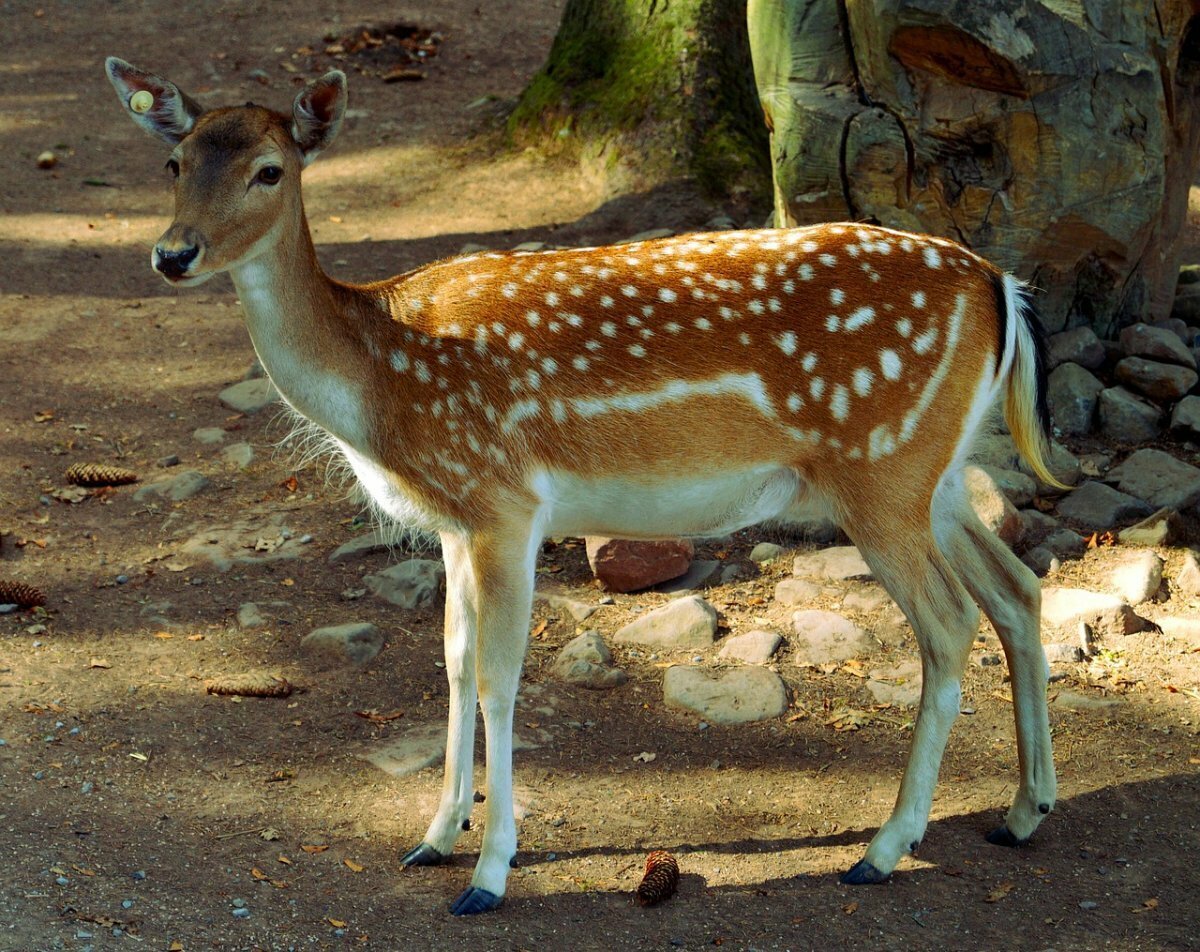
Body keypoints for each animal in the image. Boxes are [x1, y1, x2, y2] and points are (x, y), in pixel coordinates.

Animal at [105, 59, 1060, 912]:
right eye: (175, 161)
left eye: (271, 169)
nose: (172, 254)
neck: (381, 381)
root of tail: (1002, 286)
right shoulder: (453, 520)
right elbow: (451, 661)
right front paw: (433, 837)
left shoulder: (505, 501)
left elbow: (498, 676)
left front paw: (490, 873)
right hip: (934, 470)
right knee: (1017, 588)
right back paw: (1024, 811)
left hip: (882, 470)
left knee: (951, 622)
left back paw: (884, 848)